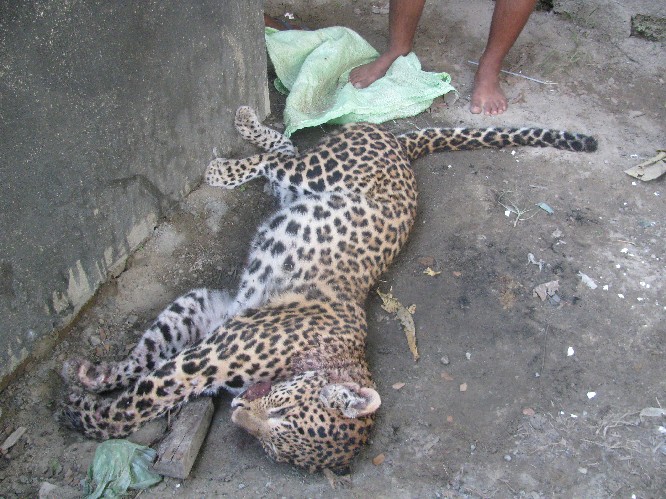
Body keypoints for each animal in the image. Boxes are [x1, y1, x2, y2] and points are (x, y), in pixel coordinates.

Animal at [58, 106, 597, 474]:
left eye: (275, 445)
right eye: (282, 413)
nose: (238, 415)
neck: (329, 359)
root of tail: (401, 149)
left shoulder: (210, 314)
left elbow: (145, 362)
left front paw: (88, 376)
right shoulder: (207, 356)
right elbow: (136, 402)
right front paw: (79, 412)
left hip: (300, 182)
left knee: (283, 153)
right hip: (324, 168)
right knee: (283, 156)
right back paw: (229, 155)